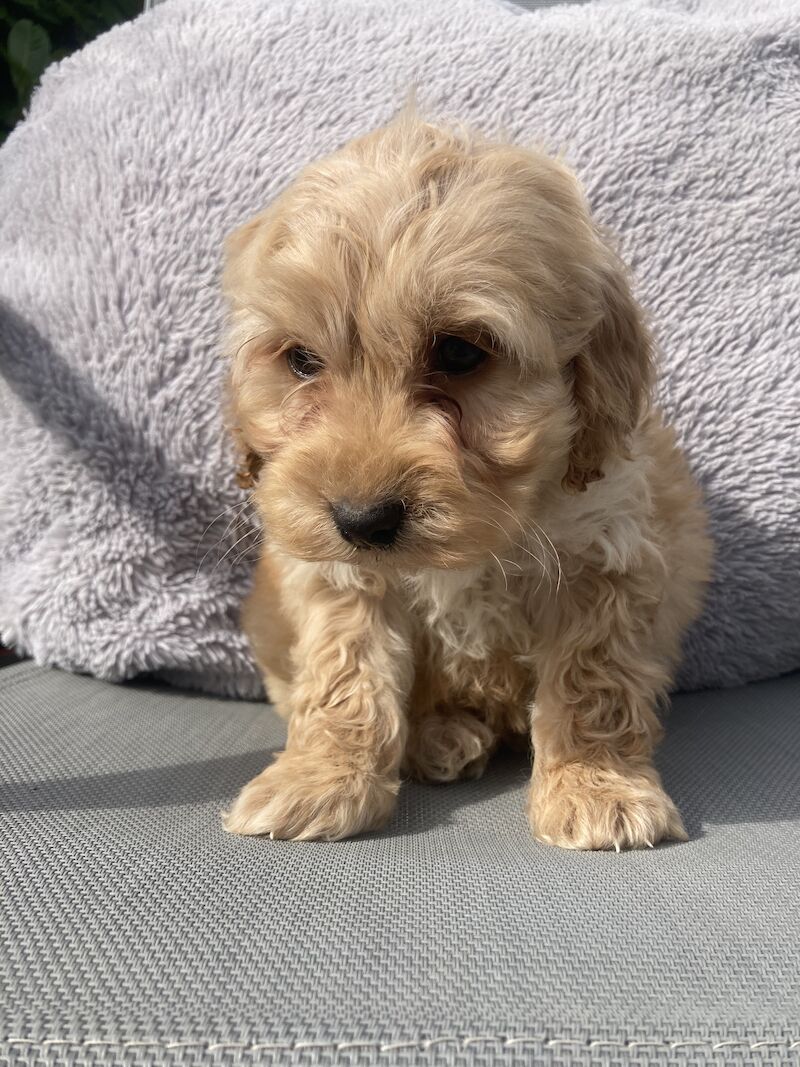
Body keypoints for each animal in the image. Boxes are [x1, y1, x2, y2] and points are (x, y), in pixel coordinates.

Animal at [220, 114, 712, 849]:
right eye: (302, 360)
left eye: (458, 352)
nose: (362, 519)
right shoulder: (341, 578)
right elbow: (345, 674)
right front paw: (321, 779)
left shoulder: (608, 552)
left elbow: (593, 680)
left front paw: (596, 786)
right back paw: (440, 738)